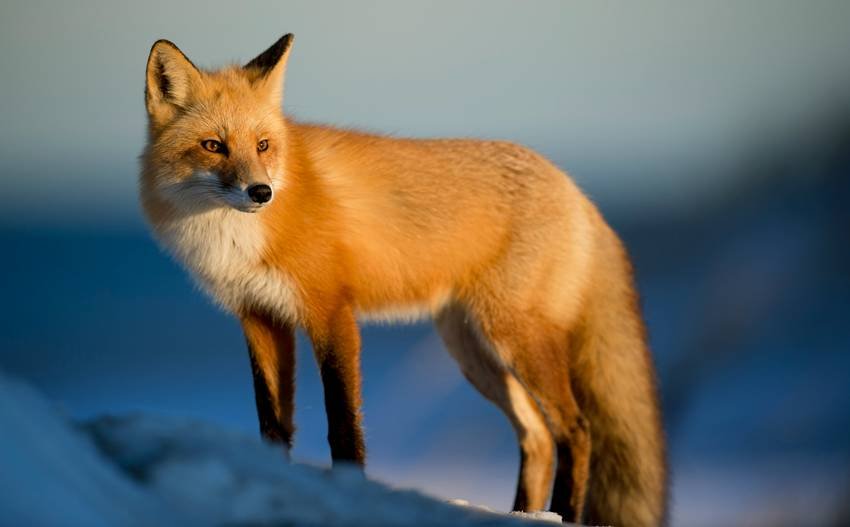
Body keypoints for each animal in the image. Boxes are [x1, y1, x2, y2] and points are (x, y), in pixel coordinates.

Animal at [140, 34, 667, 526]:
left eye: (263, 145)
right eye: (213, 146)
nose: (261, 192)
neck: (235, 238)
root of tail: (576, 191)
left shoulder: (331, 312)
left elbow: (343, 424)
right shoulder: (260, 318)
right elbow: (273, 425)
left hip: (515, 338)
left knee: (576, 430)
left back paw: (562, 514)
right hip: (473, 351)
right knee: (536, 436)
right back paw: (522, 513)